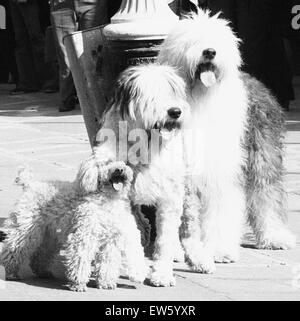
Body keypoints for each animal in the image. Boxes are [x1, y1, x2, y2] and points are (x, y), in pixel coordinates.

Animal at [0, 158, 148, 290]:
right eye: (108, 162)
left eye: (124, 163)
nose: (119, 169)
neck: (106, 200)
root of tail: (30, 184)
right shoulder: (85, 235)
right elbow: (81, 259)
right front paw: (79, 284)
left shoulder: (110, 242)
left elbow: (107, 262)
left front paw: (106, 282)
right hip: (25, 229)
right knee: (13, 250)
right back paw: (10, 272)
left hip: (50, 234)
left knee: (41, 253)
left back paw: (43, 272)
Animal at [158, 9, 296, 272]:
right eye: (192, 40)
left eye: (218, 39)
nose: (210, 51)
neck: (200, 98)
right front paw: (176, 252)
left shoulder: (220, 170)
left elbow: (221, 208)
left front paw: (219, 251)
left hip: (261, 153)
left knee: (266, 193)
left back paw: (274, 237)